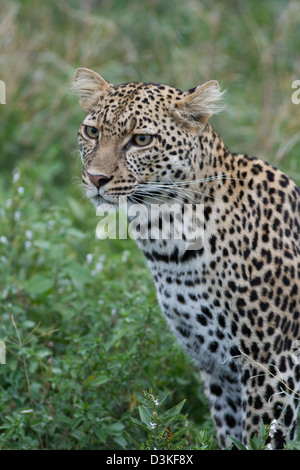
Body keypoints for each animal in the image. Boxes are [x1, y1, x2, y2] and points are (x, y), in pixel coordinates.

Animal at [71, 67, 300, 448]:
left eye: (141, 140)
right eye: (92, 132)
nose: (95, 178)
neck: (169, 248)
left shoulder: (273, 369)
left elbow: (262, 436)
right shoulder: (217, 369)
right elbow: (230, 435)